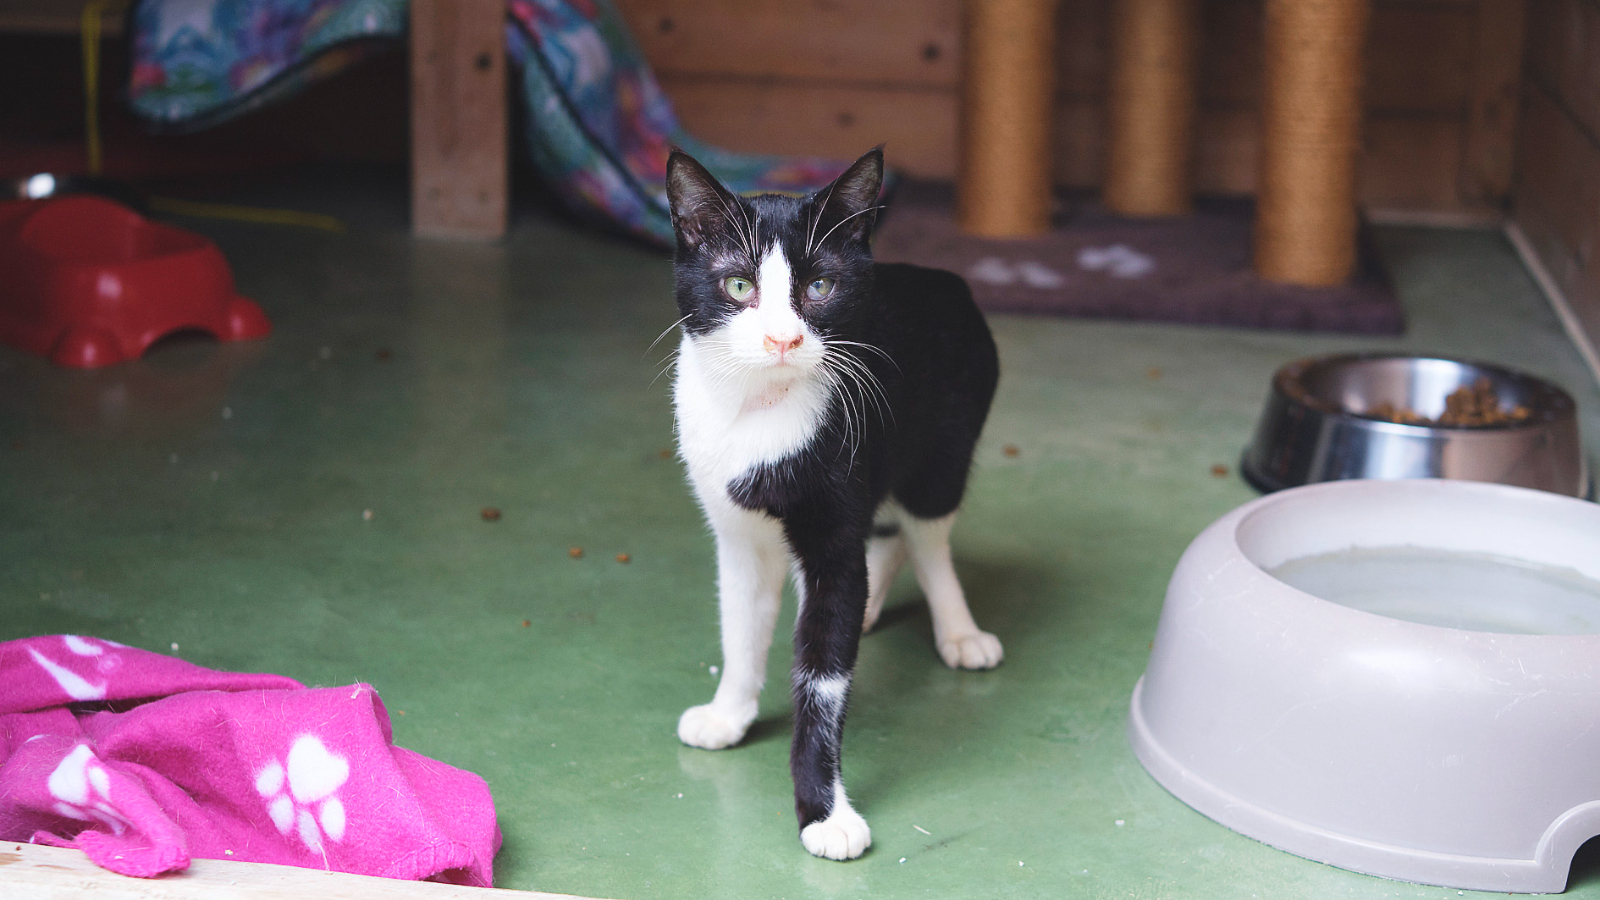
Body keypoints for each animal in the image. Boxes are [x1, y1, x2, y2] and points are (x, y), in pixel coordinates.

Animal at [665, 147, 1002, 861]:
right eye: (739, 286)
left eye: (819, 286)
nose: (782, 340)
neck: (761, 412)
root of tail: (948, 281)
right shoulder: (737, 536)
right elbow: (740, 627)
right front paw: (729, 713)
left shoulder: (834, 535)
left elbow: (821, 680)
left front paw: (824, 814)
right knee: (891, 536)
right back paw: (870, 610)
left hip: (941, 453)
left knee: (927, 536)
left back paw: (958, 631)